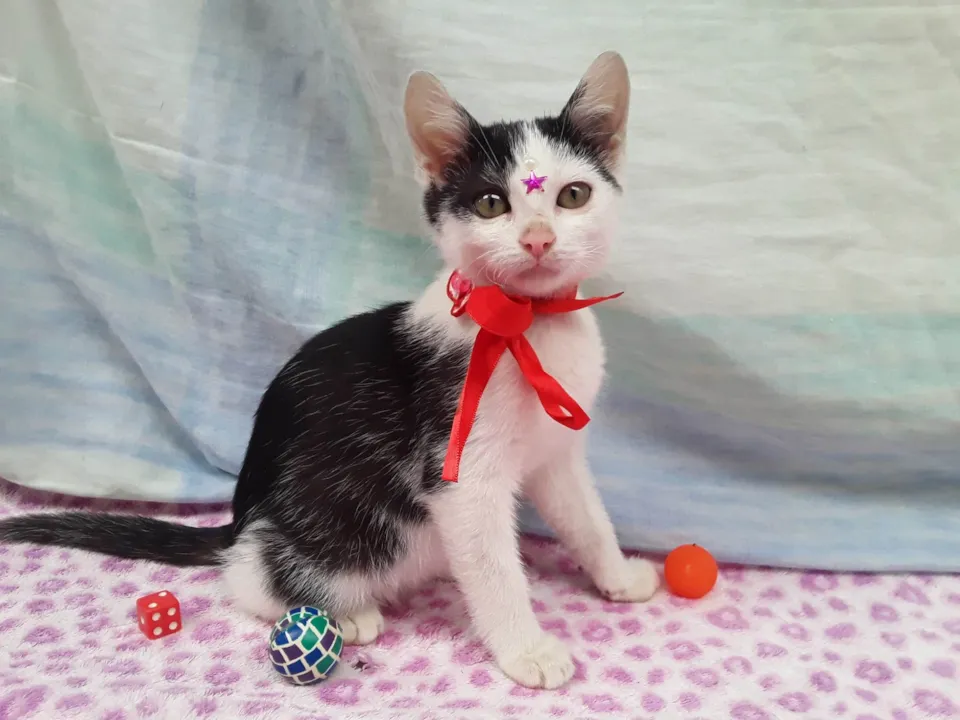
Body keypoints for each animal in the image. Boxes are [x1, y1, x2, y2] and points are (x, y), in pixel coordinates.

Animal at [0, 51, 658, 689]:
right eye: (492, 203)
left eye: (572, 196)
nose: (539, 239)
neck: (529, 322)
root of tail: (240, 522)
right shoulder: (458, 466)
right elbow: (494, 565)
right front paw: (526, 649)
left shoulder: (555, 454)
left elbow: (585, 518)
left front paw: (618, 576)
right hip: (320, 535)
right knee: (248, 578)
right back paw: (345, 612)